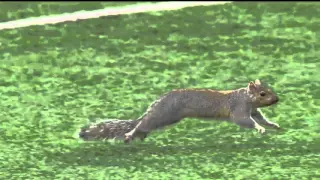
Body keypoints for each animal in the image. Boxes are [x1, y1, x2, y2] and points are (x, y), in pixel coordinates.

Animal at [78, 79, 280, 144]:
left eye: (269, 89)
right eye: (262, 93)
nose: (277, 99)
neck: (246, 97)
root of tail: (157, 103)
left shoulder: (253, 110)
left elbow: (261, 118)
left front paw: (273, 125)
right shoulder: (239, 109)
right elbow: (245, 121)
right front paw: (260, 129)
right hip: (164, 115)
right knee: (142, 124)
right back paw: (130, 135)